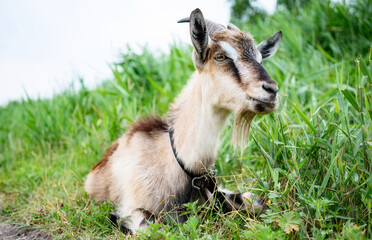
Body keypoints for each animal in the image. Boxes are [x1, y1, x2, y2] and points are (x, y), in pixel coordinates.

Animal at [85, 7, 282, 234]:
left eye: (260, 58)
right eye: (220, 56)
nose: (271, 90)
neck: (178, 161)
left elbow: (256, 201)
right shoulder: (133, 205)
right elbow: (149, 224)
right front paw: (118, 220)